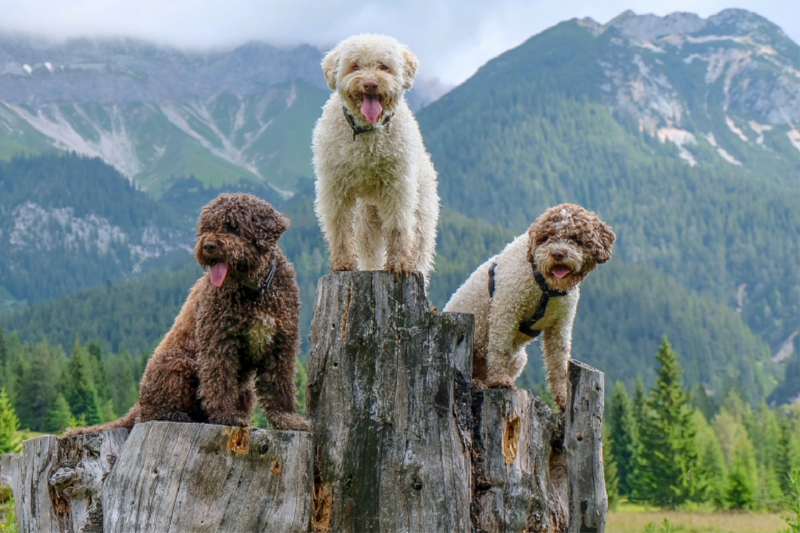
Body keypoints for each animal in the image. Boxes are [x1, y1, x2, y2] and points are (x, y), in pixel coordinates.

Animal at [66, 193, 310, 434]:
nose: (208, 245)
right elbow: (219, 380)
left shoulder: (281, 344)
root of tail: (138, 404)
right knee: (152, 413)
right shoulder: (218, 342)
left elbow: (280, 386)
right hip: (180, 365)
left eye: (233, 227)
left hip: (242, 387)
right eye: (206, 227)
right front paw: (225, 415)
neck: (255, 290)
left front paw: (288, 419)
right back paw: (177, 415)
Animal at [310, 33, 438, 286]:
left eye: (384, 66)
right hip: (366, 219)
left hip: (422, 212)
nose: (370, 84)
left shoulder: (398, 186)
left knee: (419, 245)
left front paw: (400, 263)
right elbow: (339, 226)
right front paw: (343, 264)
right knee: (370, 250)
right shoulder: (334, 186)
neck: (368, 135)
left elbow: (399, 226)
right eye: (355, 66)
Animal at [444, 204, 612, 408]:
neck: (545, 286)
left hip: (519, 359)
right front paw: (499, 380)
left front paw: (563, 397)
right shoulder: (506, 310)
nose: (557, 254)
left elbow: (559, 363)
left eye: (575, 238)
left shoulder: (560, 326)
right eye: (546, 237)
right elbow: (499, 348)